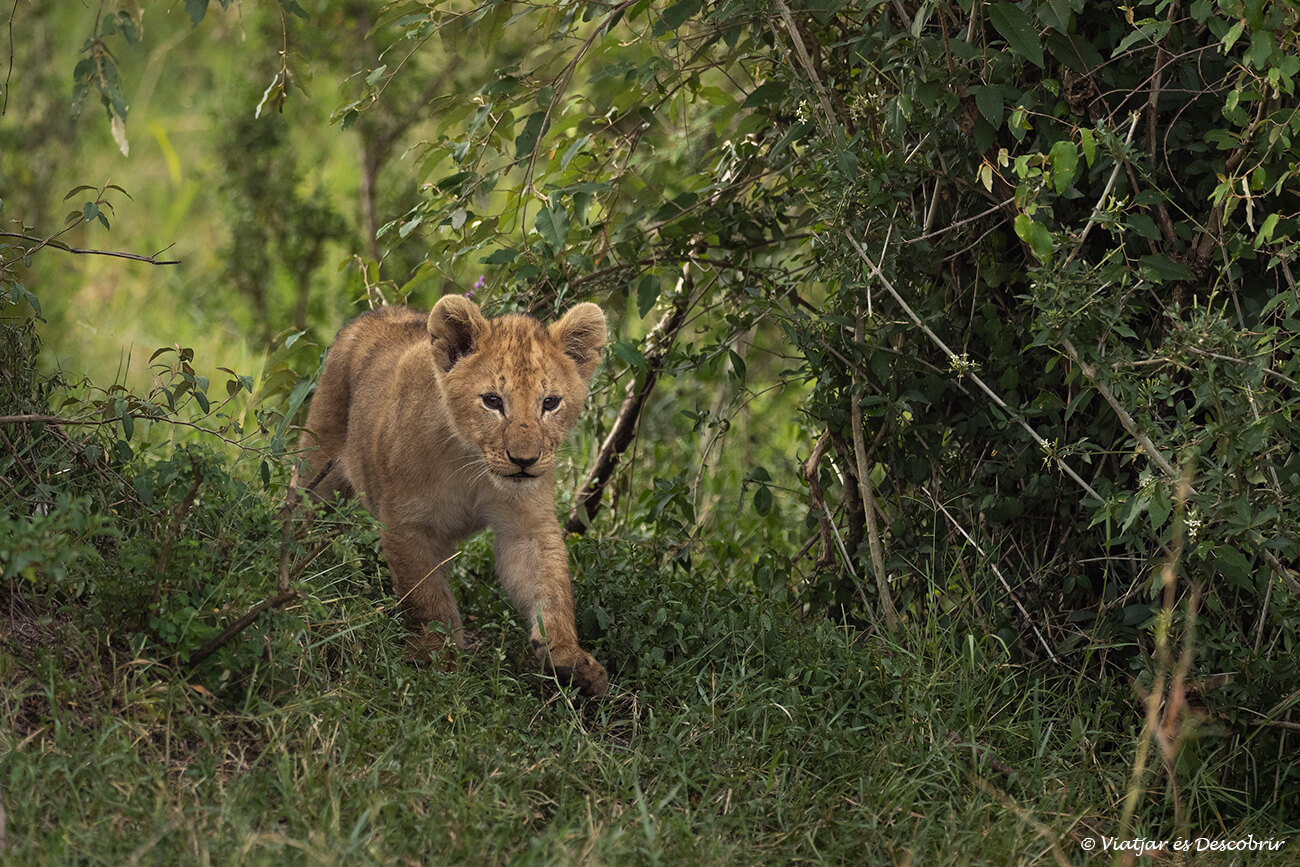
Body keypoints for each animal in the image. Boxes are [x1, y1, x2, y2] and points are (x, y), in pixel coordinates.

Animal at [292, 294, 609, 697]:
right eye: (492, 401)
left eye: (550, 402)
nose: (524, 461)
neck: (471, 463)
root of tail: (374, 313)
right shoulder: (406, 524)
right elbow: (428, 597)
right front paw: (437, 659)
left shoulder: (527, 525)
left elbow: (550, 587)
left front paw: (569, 658)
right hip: (318, 468)